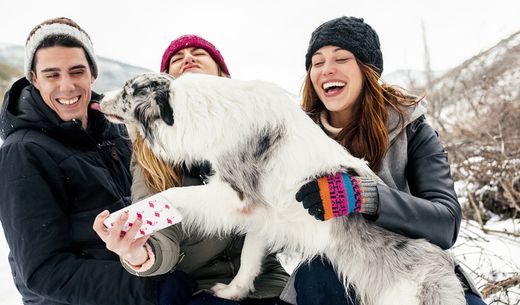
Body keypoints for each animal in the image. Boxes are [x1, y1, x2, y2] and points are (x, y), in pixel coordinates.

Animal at [99, 72, 466, 304]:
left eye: (129, 90)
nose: (100, 97)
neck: (193, 111)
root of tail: (445, 271)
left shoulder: (236, 196)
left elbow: (172, 195)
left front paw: (134, 216)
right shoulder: (264, 214)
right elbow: (249, 257)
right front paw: (234, 291)